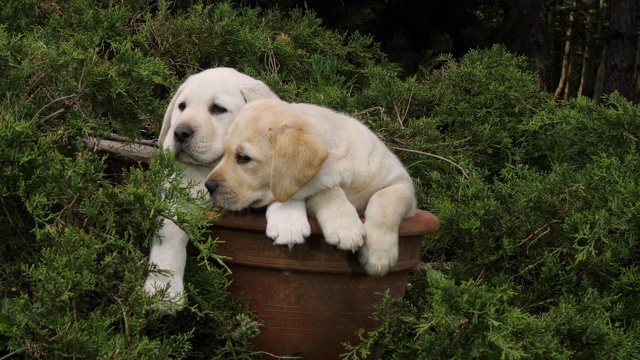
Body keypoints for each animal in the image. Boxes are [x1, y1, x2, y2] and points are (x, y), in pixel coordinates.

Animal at [144, 68, 278, 310]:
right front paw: (163, 290)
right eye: (182, 106)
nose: (180, 132)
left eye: (217, 109)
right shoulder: (177, 197)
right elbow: (169, 235)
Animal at [204, 98, 416, 276]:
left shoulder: (403, 184)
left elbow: (385, 200)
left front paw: (379, 254)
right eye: (225, 153)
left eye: (243, 158)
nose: (208, 186)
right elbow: (328, 190)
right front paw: (344, 226)